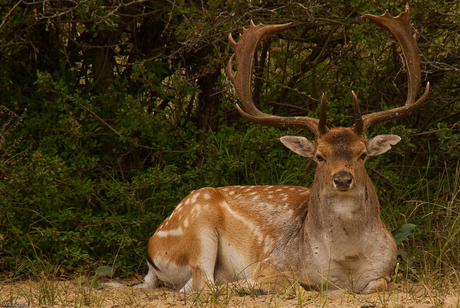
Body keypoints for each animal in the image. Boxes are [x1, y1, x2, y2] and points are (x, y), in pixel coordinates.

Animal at [136, 4, 428, 294]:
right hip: (198, 227)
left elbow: (378, 284)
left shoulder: (385, 271)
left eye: (362, 154)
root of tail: (151, 250)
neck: (348, 263)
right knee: (201, 285)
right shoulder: (272, 263)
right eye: (319, 156)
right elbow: (294, 284)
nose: (343, 179)